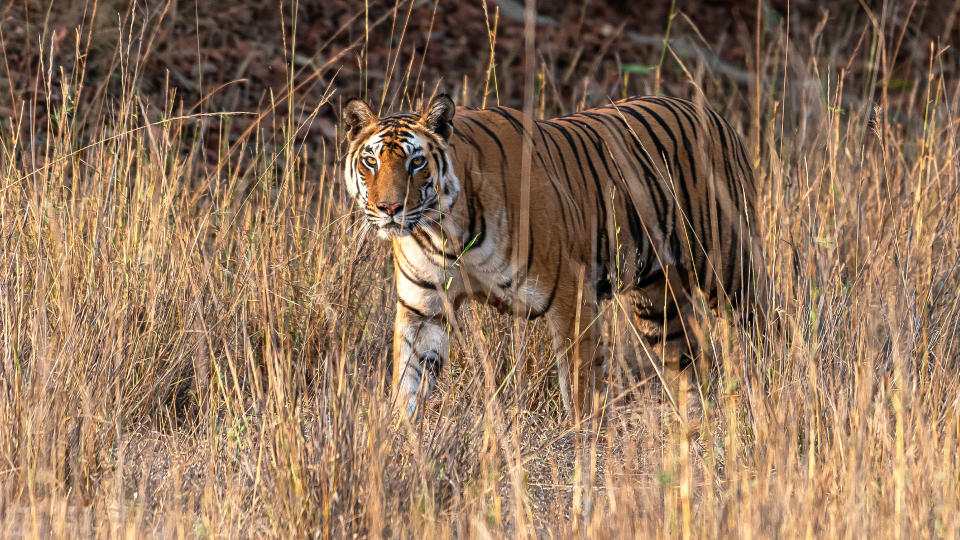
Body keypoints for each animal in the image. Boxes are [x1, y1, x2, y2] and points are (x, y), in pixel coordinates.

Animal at [342, 93, 760, 420]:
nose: (390, 208)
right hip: (657, 297)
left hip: (728, 268)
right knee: (687, 359)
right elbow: (410, 381)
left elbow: (579, 388)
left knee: (760, 327)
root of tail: (713, 114)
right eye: (371, 162)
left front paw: (584, 451)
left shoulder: (571, 297)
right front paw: (404, 447)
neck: (444, 232)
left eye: (416, 162)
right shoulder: (423, 308)